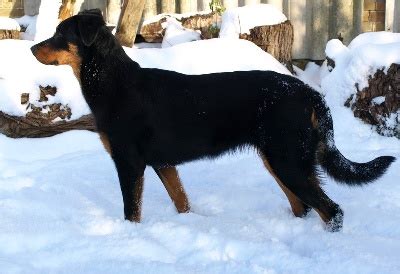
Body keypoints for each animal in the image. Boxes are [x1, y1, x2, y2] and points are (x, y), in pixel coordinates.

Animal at [30, 9, 394, 231]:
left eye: (60, 34)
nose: (32, 49)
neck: (115, 84)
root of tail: (310, 94)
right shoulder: (163, 163)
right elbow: (181, 201)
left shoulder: (129, 162)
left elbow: (131, 212)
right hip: (279, 160)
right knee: (303, 206)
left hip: (288, 160)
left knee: (332, 210)